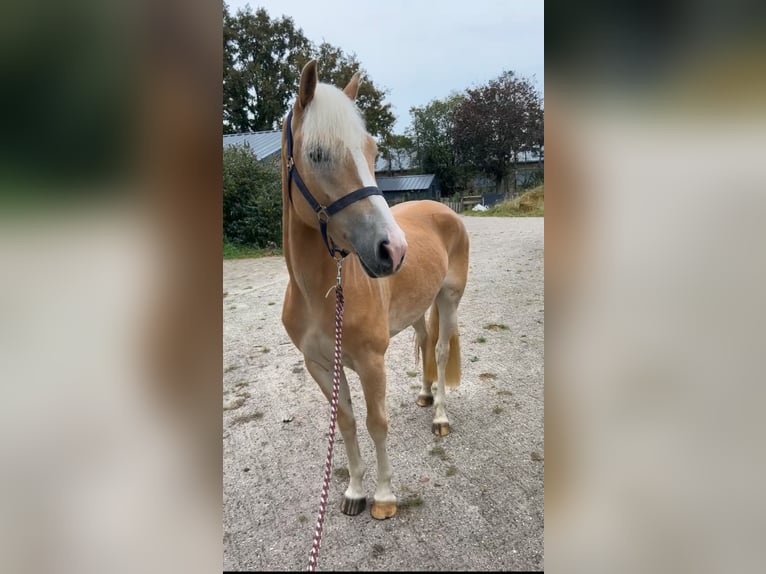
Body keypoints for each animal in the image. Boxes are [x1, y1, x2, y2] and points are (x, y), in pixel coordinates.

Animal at [282, 60, 472, 520]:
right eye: (317, 154)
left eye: (371, 151)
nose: (394, 250)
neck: (320, 295)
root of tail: (442, 209)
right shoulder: (320, 365)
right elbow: (347, 422)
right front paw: (353, 490)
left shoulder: (371, 363)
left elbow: (376, 423)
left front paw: (384, 497)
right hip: (419, 308)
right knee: (425, 341)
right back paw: (424, 396)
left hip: (449, 299)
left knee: (441, 350)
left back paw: (440, 416)